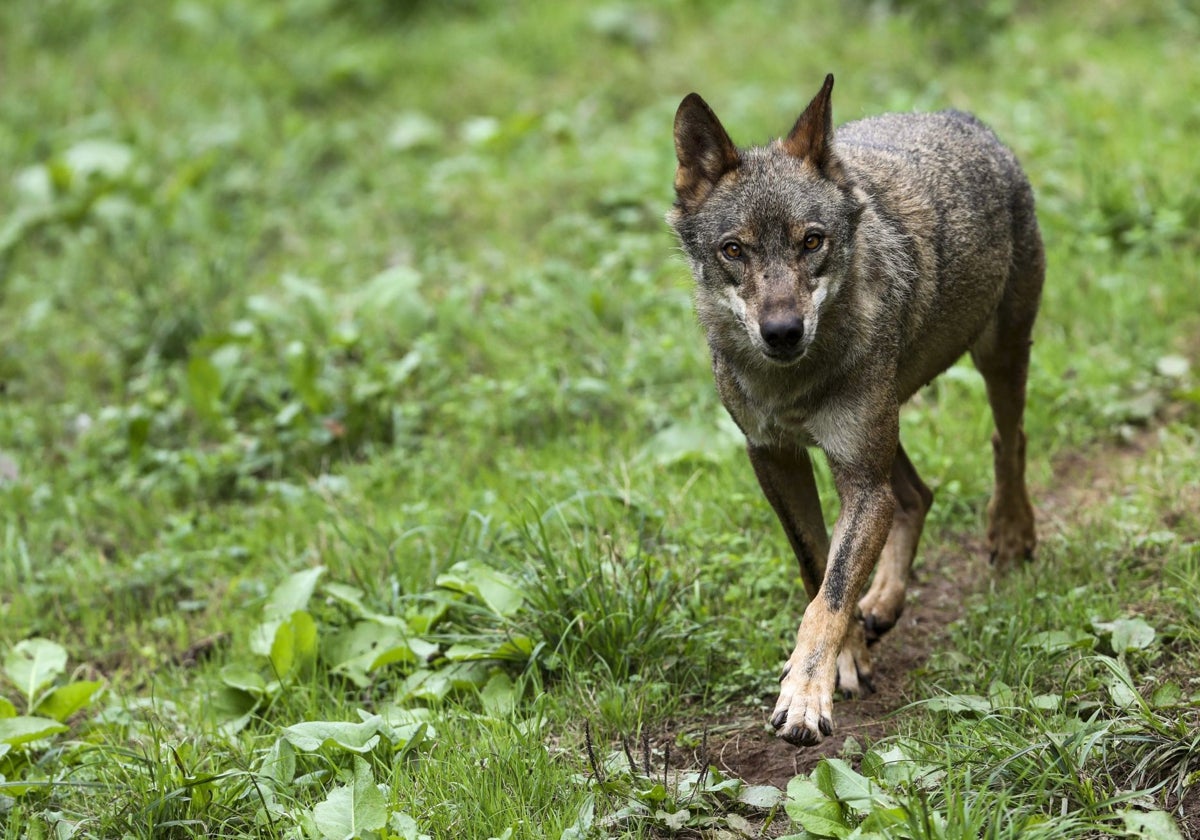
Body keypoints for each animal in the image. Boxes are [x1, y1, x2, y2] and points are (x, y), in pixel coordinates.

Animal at [667, 75, 1041, 744]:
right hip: (885, 432)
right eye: (733, 250)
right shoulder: (775, 459)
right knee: (917, 493)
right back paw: (886, 601)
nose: (782, 332)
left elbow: (831, 595)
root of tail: (960, 117)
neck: (793, 386)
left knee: (1009, 441)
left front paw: (804, 696)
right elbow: (817, 567)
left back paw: (1010, 533)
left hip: (993, 361)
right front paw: (845, 661)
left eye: (812, 241)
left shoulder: (861, 482)